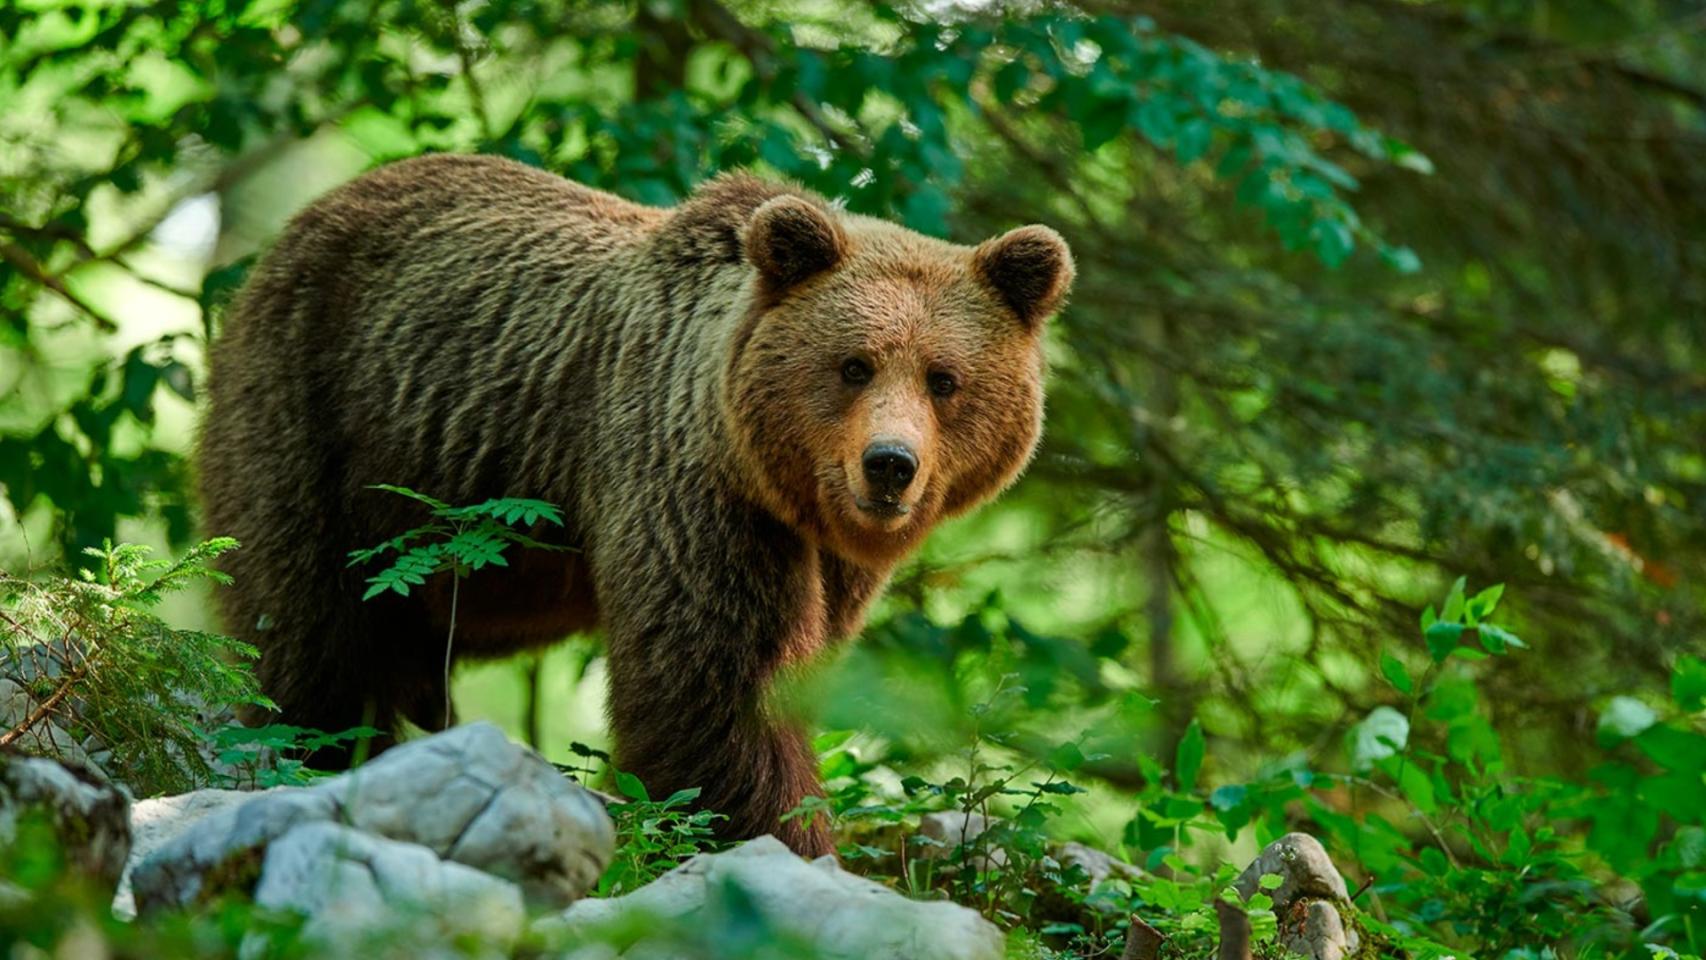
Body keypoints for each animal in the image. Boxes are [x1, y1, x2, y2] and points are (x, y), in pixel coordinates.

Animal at [197, 153, 1073, 856]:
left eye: (944, 378)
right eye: (854, 364)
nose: (889, 465)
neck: (770, 476)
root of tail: (306, 221)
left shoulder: (827, 561)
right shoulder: (688, 482)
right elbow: (716, 681)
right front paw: (777, 836)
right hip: (317, 416)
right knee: (306, 624)